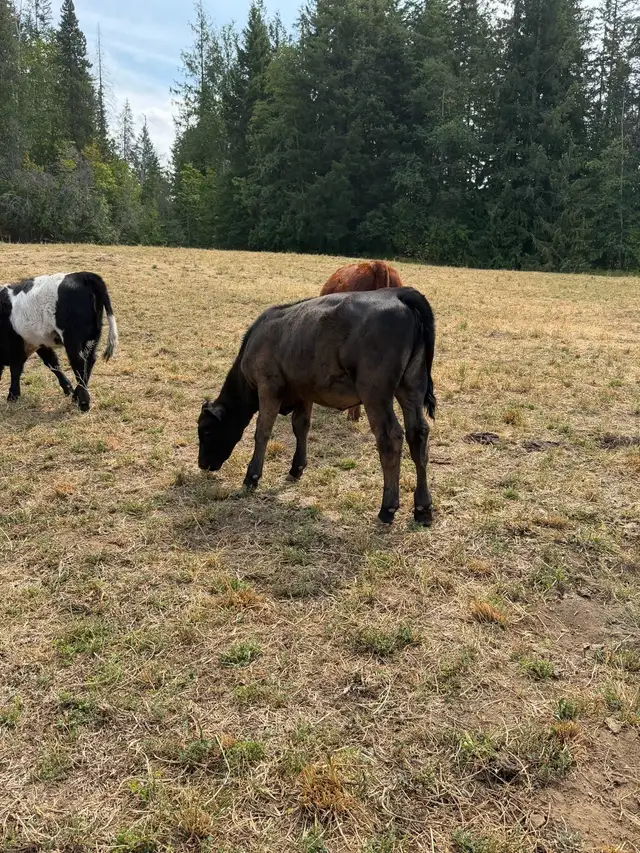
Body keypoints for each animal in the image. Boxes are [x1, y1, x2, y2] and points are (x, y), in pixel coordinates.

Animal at [0, 272, 118, 411]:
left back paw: (83, 402)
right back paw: (77, 396)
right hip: (93, 336)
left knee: (78, 363)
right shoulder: (39, 342)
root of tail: (83, 275)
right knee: (89, 361)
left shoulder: (14, 342)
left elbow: (16, 368)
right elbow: (52, 363)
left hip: (72, 339)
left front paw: (13, 395)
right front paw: (68, 388)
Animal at [198, 287, 436, 526]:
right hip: (412, 386)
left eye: (206, 431)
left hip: (375, 393)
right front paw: (296, 468)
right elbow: (301, 427)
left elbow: (262, 432)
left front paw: (251, 477)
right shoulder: (304, 392)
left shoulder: (269, 387)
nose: (202, 464)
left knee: (390, 438)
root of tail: (397, 293)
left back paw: (387, 508)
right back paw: (422, 508)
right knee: (418, 434)